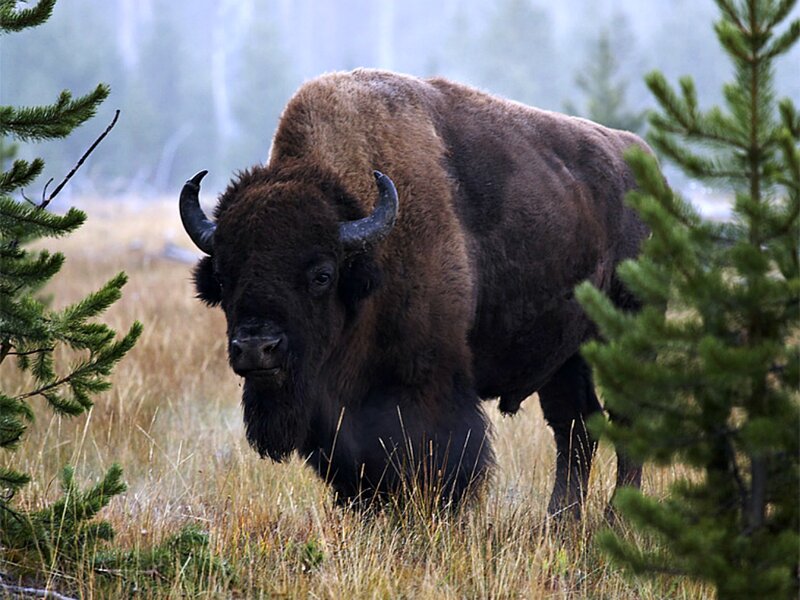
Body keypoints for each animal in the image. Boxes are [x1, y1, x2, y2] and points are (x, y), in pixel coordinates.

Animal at [180, 69, 649, 516]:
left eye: (322, 275)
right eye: (223, 275)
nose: (256, 347)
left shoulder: (430, 386)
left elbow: (444, 461)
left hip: (625, 333)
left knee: (625, 421)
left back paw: (614, 518)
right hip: (565, 356)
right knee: (576, 426)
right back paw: (561, 522)